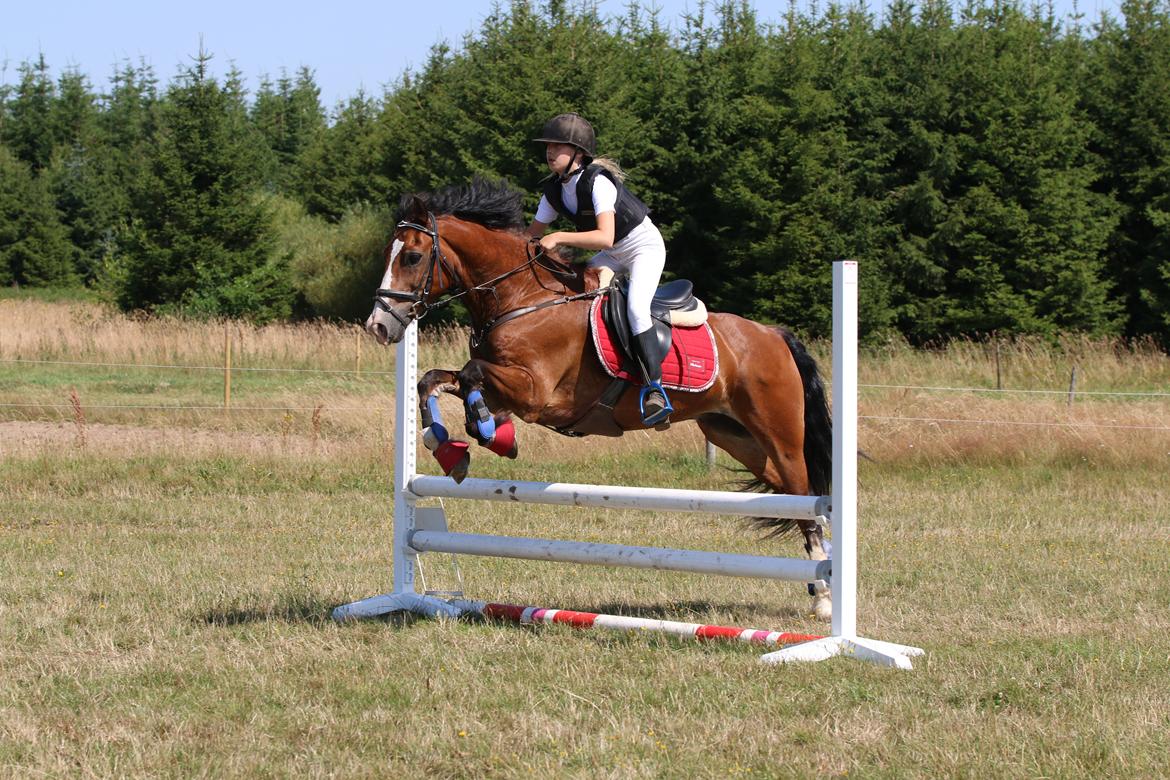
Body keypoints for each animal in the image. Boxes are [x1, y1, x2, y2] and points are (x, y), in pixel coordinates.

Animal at [365, 178, 833, 622]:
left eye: (412, 257)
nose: (379, 326)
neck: (523, 298)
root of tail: (774, 335)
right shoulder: (508, 387)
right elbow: (433, 380)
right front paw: (450, 445)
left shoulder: (535, 393)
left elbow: (470, 374)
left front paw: (487, 431)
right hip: (735, 437)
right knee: (794, 500)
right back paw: (819, 582)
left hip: (779, 433)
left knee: (806, 497)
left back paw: (826, 599)